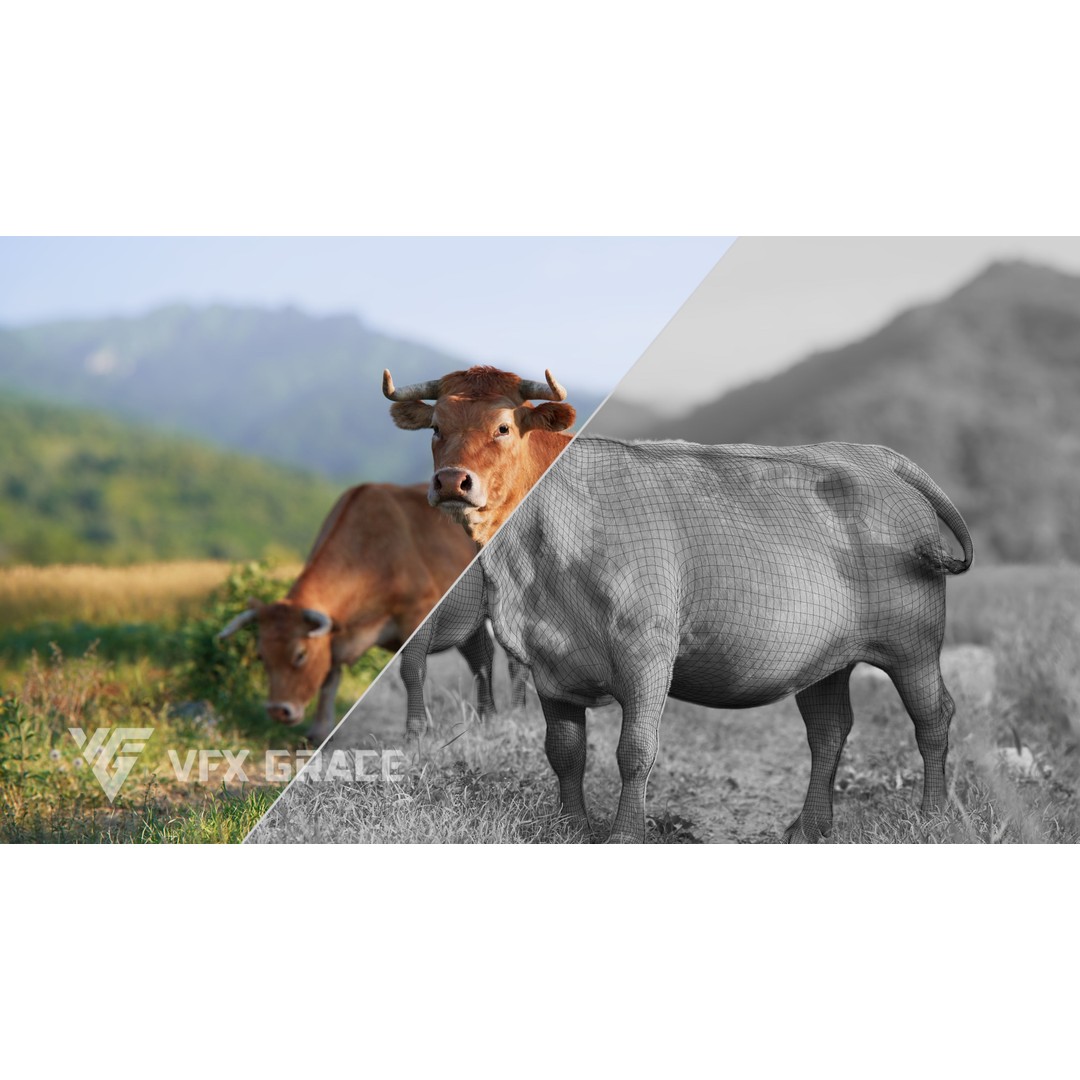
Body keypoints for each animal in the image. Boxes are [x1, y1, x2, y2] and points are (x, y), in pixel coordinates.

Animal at [216, 483, 494, 744]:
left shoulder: (417, 615)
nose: (277, 711)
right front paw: (319, 733)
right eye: (261, 656)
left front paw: (416, 731)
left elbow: (412, 670)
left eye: (300, 654)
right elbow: (329, 679)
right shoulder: (333, 638)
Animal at [475, 437, 974, 843]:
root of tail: (872, 455)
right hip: (825, 658)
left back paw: (932, 817)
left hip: (914, 644)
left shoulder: (646, 652)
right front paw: (572, 830)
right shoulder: (549, 664)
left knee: (933, 717)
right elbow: (565, 752)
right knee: (829, 730)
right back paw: (808, 828)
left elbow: (634, 749)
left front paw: (624, 836)